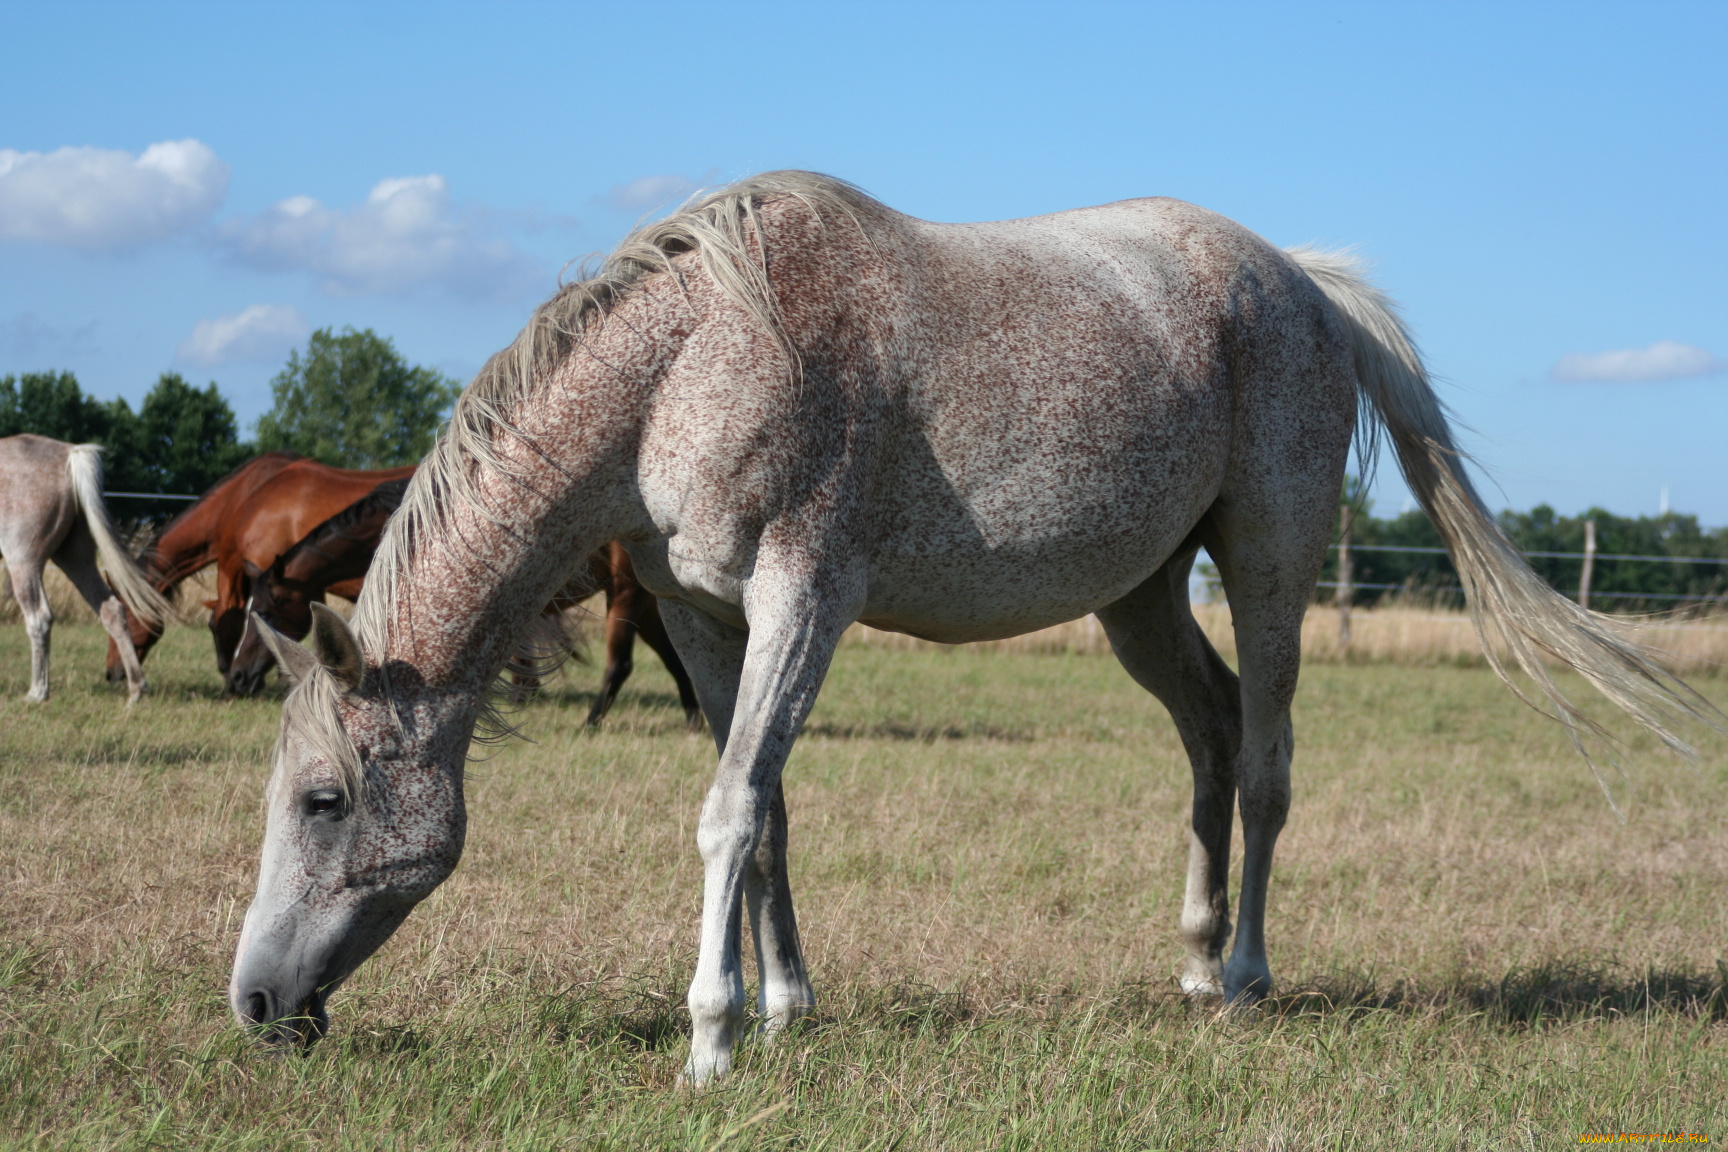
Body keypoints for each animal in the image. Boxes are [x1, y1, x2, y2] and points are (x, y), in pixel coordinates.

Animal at [0, 431, 173, 704]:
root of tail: (70, 454)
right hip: (77, 561)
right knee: (112, 610)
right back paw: (136, 689)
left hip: (23, 563)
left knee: (39, 618)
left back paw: (37, 693)